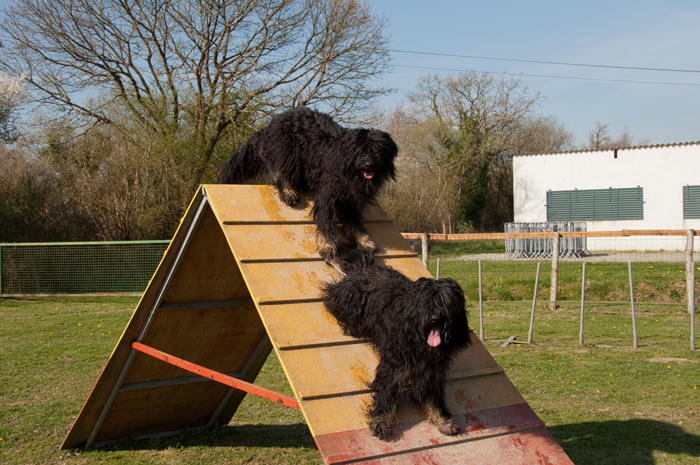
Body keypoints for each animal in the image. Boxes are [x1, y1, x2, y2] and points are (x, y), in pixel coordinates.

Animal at [322, 264, 470, 438]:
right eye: (427, 303)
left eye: (445, 304)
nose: (435, 319)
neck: (419, 342)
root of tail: (364, 268)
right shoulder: (392, 366)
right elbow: (386, 392)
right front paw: (381, 421)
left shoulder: (432, 372)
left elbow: (434, 398)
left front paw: (443, 421)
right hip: (351, 301)